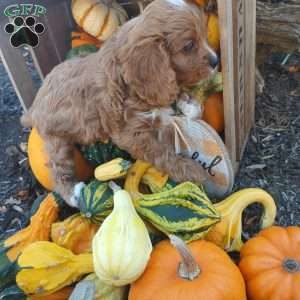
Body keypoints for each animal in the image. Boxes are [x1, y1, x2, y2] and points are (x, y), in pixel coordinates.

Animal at [21, 0, 218, 206]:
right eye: (189, 46)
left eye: (204, 37)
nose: (216, 61)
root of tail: (34, 106)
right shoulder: (130, 133)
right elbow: (162, 153)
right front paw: (190, 170)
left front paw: (190, 104)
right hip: (56, 139)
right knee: (57, 167)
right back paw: (73, 193)